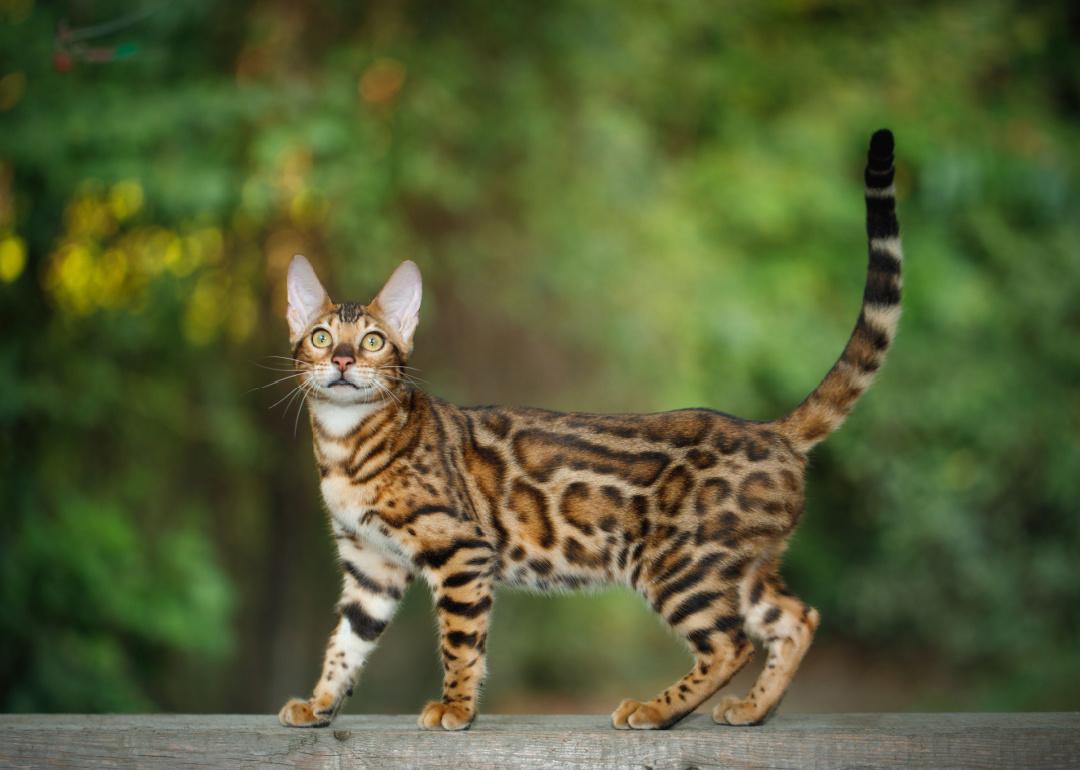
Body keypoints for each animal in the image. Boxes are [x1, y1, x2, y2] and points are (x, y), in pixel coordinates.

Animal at [278, 129, 902, 730]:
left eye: (373, 341)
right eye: (320, 337)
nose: (342, 360)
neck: (345, 443)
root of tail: (772, 431)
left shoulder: (460, 549)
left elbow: (461, 642)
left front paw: (456, 707)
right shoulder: (370, 567)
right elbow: (346, 644)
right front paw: (319, 704)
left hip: (679, 567)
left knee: (731, 644)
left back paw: (656, 710)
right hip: (738, 567)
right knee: (797, 618)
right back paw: (752, 709)